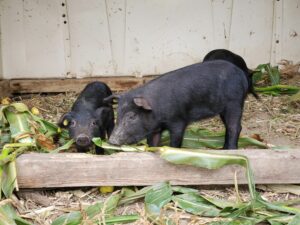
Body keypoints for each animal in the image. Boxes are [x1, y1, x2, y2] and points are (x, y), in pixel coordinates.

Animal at [108, 60, 248, 149]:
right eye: (117, 114)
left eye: (132, 116)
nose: (111, 140)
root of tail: (241, 75)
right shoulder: (155, 128)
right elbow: (153, 142)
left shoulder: (178, 121)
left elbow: (176, 140)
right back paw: (222, 149)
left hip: (234, 103)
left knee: (234, 127)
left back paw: (229, 150)